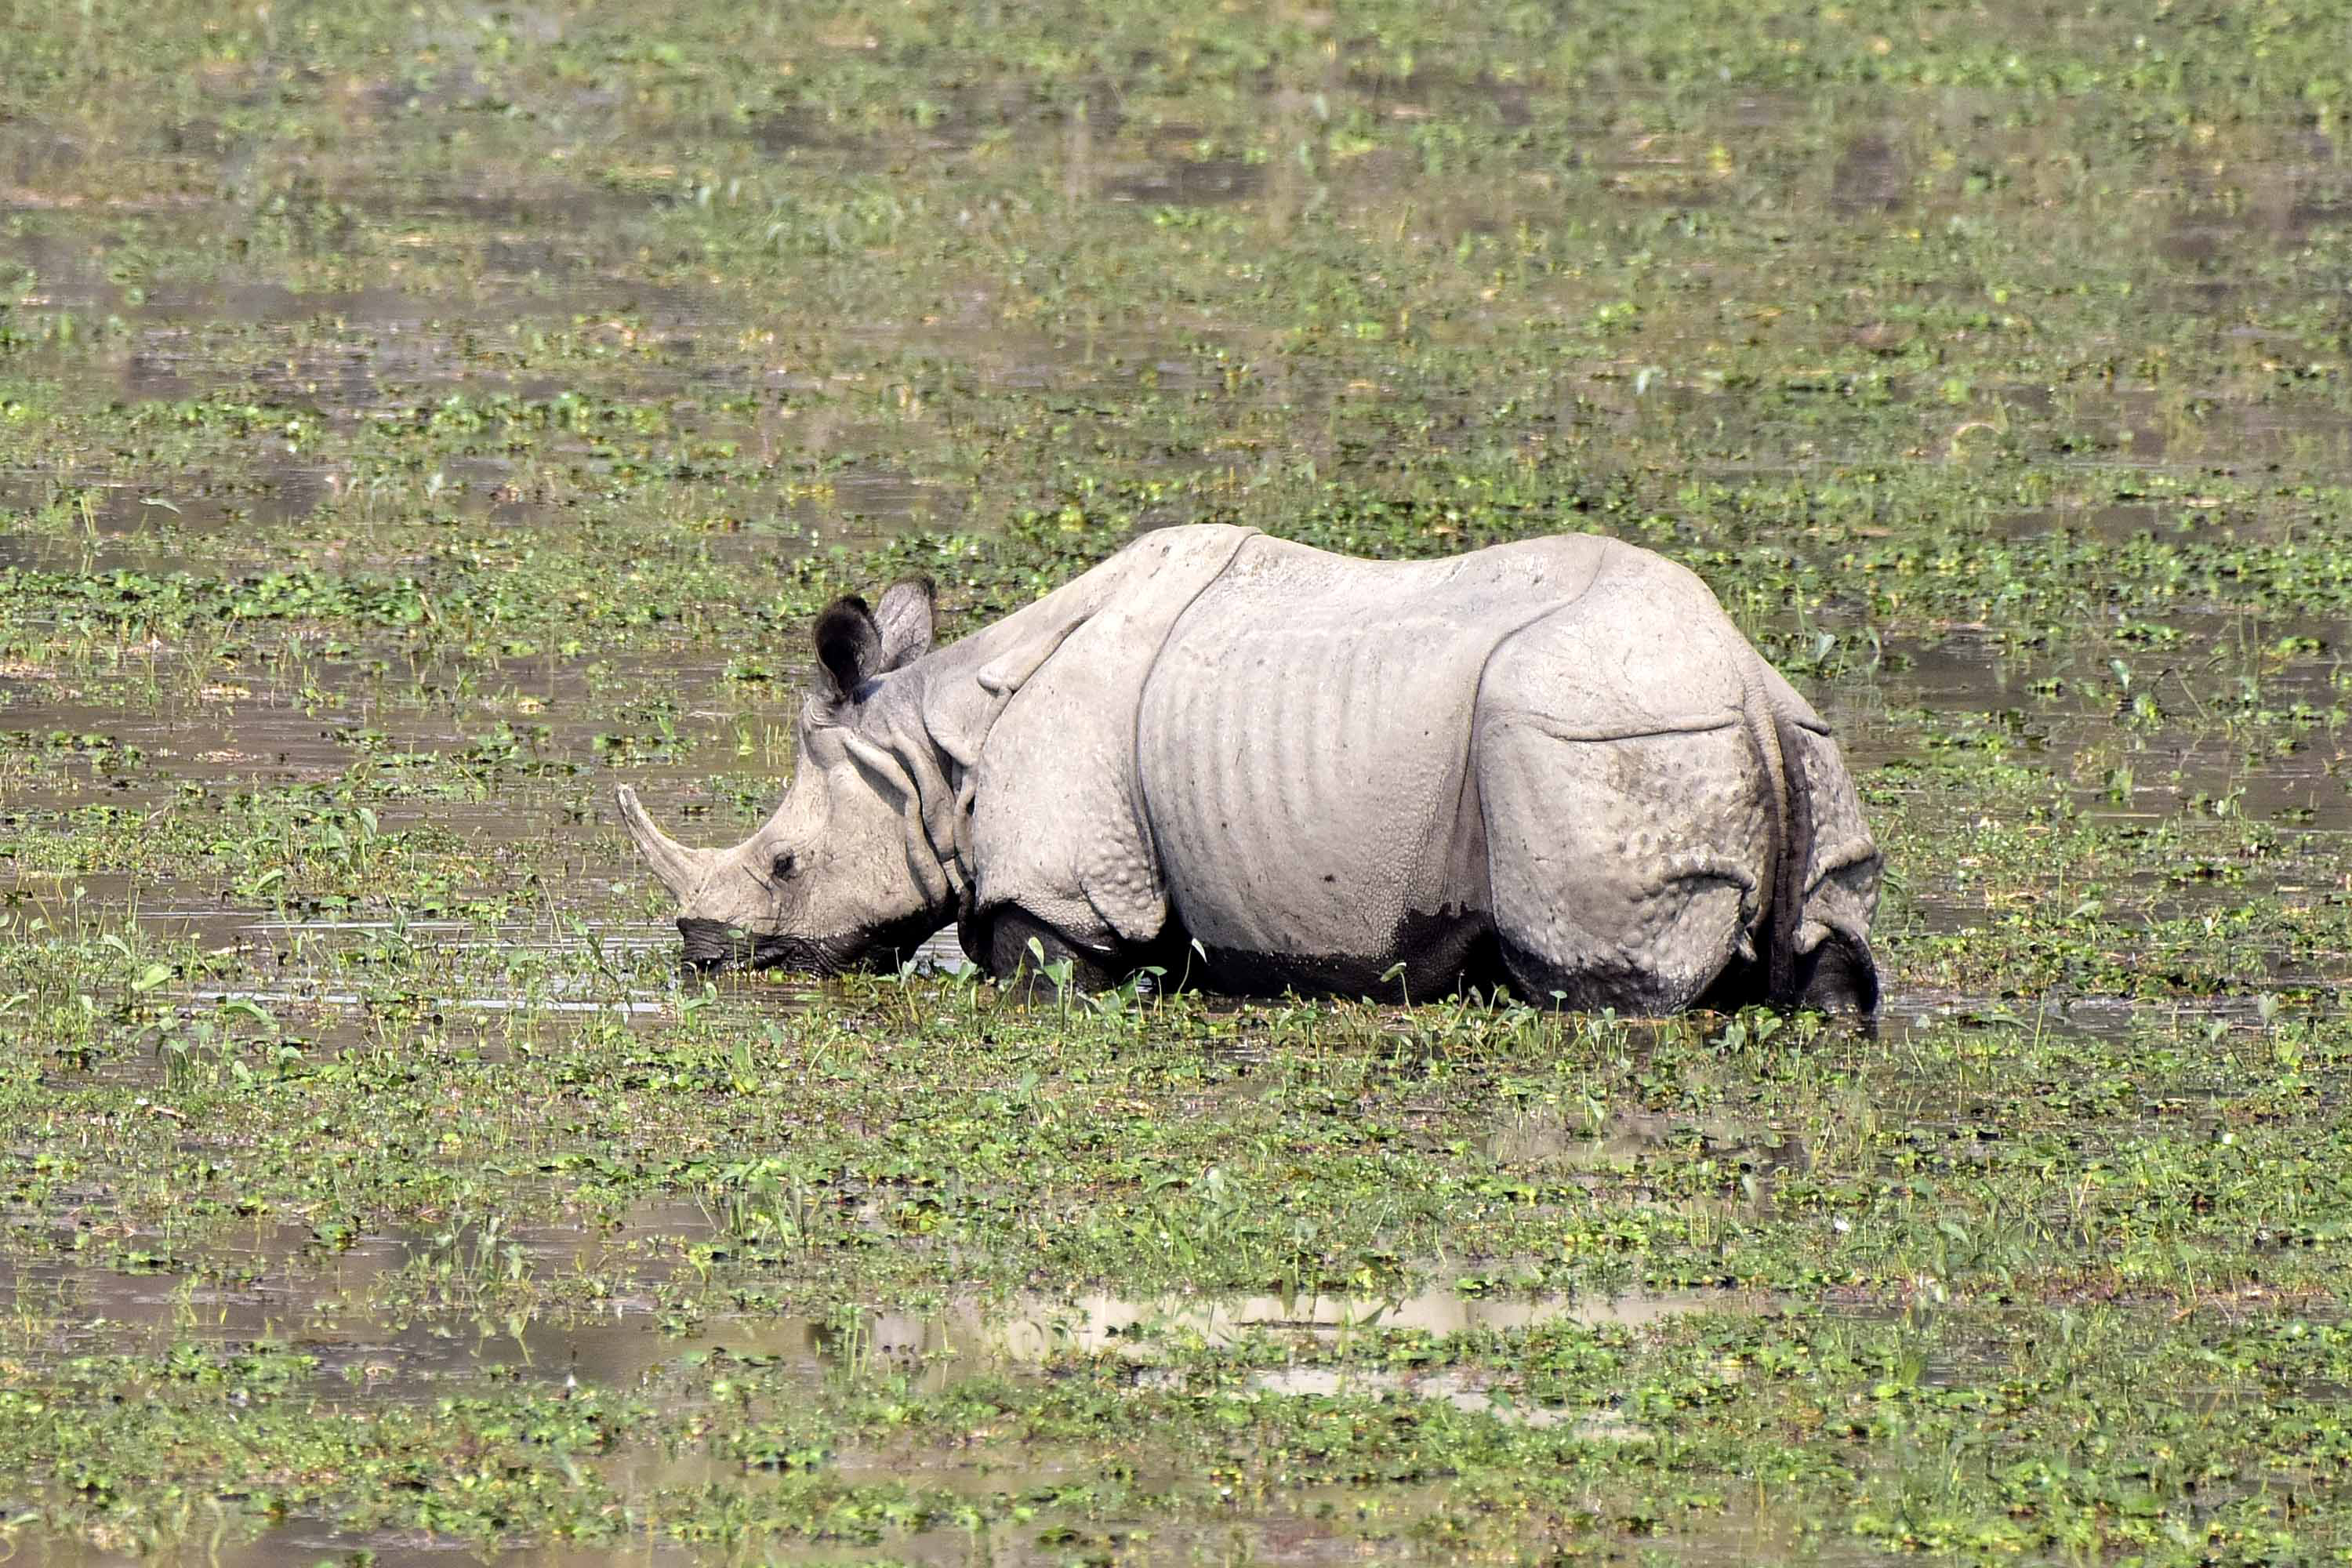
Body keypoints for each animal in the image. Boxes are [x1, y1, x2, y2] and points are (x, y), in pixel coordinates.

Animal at [617, 524, 1881, 1013]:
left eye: (785, 865)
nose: (701, 952)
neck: (932, 748)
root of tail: (1741, 675)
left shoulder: (1065, 892)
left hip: (1590, 738)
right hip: (1785, 737)